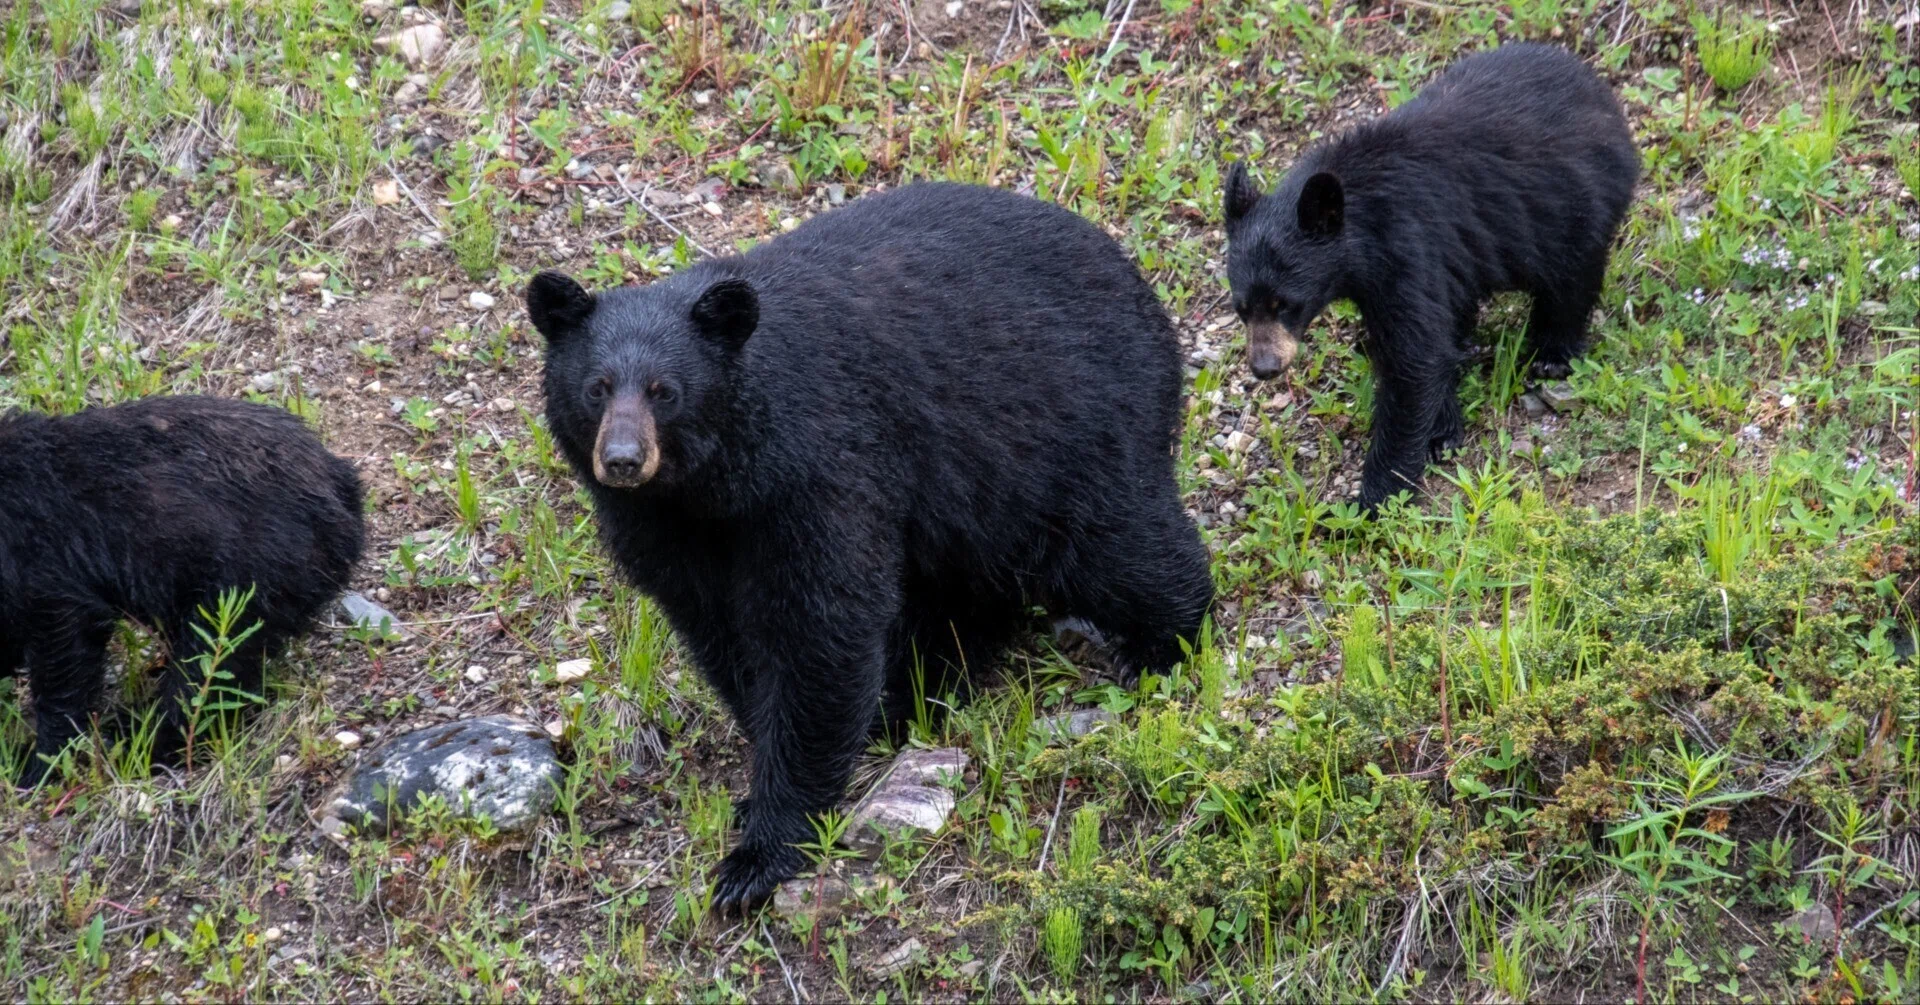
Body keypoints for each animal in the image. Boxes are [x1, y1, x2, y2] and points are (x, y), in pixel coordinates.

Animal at [0, 395, 365, 785]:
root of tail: (341, 482)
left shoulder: (38, 558)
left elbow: (64, 644)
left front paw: (37, 760)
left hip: (249, 574)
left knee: (207, 667)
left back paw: (142, 738)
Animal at [528, 181, 1214, 911]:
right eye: (596, 387)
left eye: (665, 391)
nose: (623, 460)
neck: (712, 484)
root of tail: (1137, 282)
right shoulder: (664, 525)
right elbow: (720, 628)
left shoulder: (819, 470)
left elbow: (817, 627)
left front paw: (760, 852)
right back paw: (925, 684)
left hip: (1061, 427)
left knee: (1115, 541)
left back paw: (1159, 644)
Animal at [1222, 42, 1638, 510]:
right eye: (1242, 308)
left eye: (1286, 304)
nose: (1263, 367)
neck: (1359, 223)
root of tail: (1600, 90)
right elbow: (1429, 343)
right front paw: (1441, 430)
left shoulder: (1407, 248)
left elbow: (1413, 360)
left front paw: (1376, 495)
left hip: (1575, 204)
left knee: (1571, 279)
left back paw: (1552, 353)